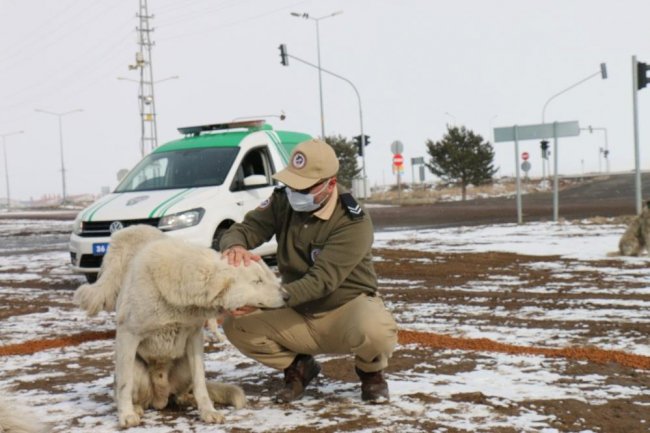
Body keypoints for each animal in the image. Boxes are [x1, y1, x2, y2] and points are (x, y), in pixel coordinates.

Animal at [73, 224, 286, 426]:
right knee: (123, 390)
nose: (287, 296)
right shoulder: (128, 335)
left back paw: (188, 400)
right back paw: (136, 409)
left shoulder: (195, 337)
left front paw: (208, 412)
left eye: (267, 276)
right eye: (257, 281)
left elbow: (200, 383)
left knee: (182, 393)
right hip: (134, 367)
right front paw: (126, 416)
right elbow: (125, 385)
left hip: (184, 368)